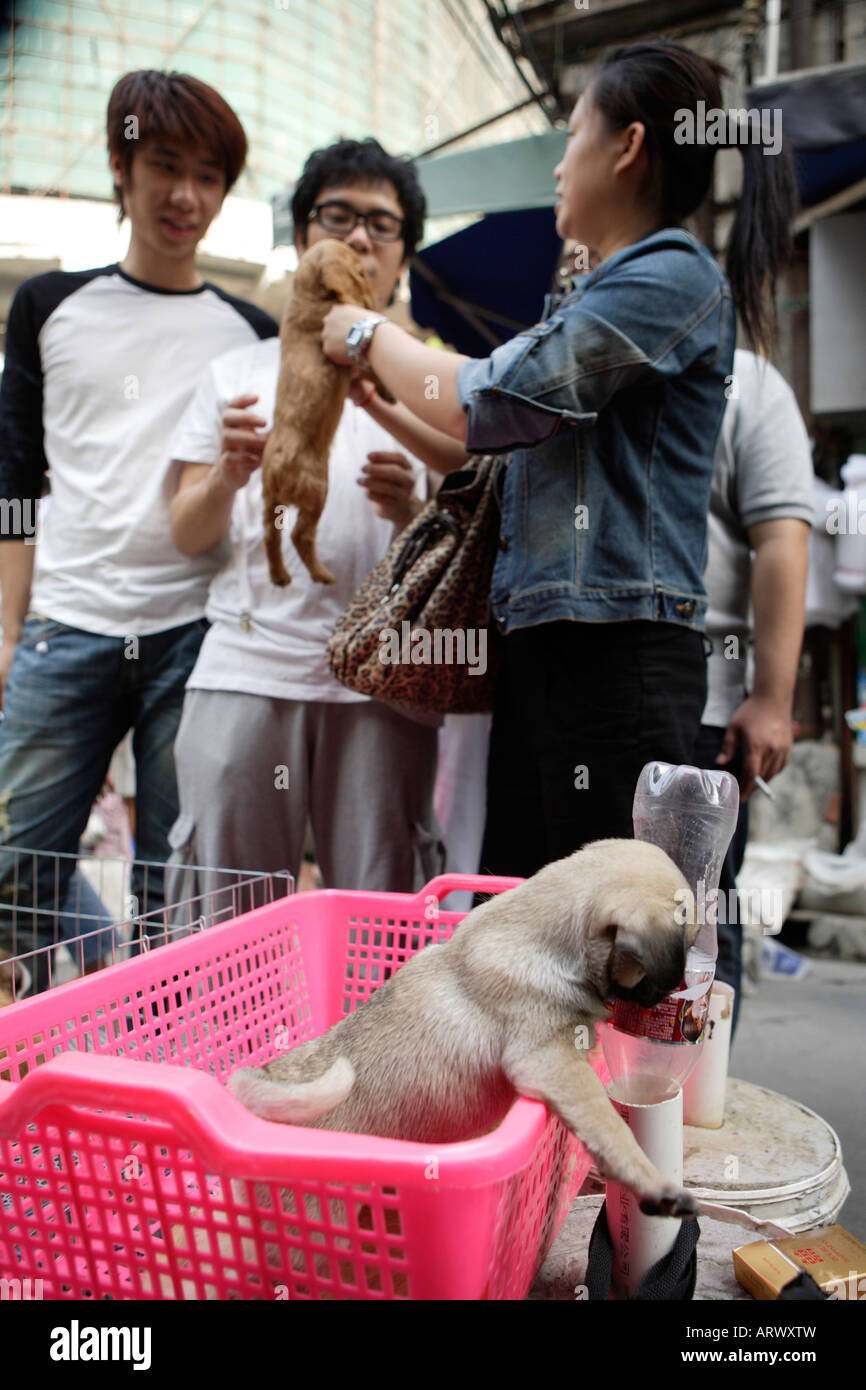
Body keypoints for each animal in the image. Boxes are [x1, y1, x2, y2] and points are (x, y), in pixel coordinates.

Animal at [258, 239, 391, 586]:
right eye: (360, 274)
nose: (375, 303)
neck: (308, 296)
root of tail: (276, 467)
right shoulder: (345, 353)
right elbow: (373, 369)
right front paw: (388, 392)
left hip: (270, 501)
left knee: (270, 536)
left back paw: (280, 577)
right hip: (318, 490)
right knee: (300, 536)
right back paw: (322, 575)